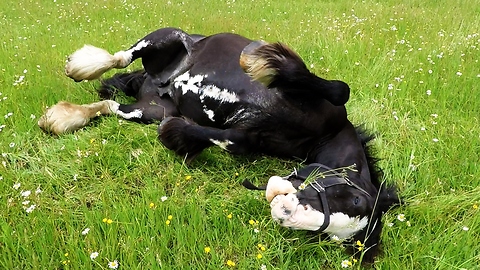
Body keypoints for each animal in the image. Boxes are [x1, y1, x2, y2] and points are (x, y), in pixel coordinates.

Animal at [37, 26, 400, 262]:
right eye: (355, 200)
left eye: (329, 236)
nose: (285, 213)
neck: (317, 134)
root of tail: (156, 82)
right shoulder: (326, 103)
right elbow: (339, 88)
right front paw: (259, 62)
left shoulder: (248, 134)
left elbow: (233, 143)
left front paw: (177, 134)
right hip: (166, 37)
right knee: (121, 57)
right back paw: (80, 67)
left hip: (149, 109)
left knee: (110, 105)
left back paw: (62, 117)